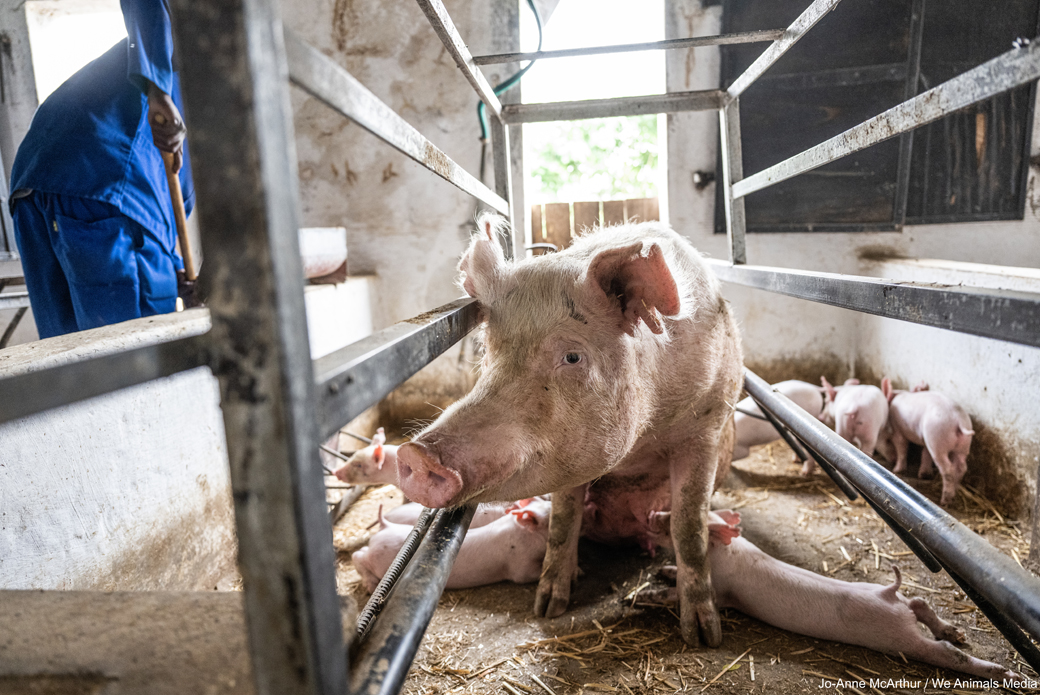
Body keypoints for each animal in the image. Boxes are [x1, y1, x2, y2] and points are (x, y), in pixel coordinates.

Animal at [352, 499, 551, 591]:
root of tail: (385, 525)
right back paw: (371, 587)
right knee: (357, 556)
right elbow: (529, 575)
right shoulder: (519, 564)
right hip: (377, 560)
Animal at [396, 214, 743, 646]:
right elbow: (563, 519)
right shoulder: (567, 457)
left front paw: (703, 636)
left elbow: (689, 524)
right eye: (488, 349)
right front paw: (547, 607)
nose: (417, 454)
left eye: (573, 356)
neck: (643, 438)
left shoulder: (706, 425)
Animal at [639, 511, 1015, 681]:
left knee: (945, 652)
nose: (652, 514)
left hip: (897, 637)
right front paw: (664, 573)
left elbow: (682, 596)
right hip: (891, 602)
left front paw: (649, 595)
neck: (724, 553)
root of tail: (887, 593)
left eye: (674, 522)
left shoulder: (721, 592)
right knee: (919, 603)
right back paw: (958, 632)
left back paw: (1007, 675)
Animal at [880, 378, 974, 507]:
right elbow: (925, 454)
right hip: (962, 446)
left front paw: (897, 470)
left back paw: (945, 501)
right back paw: (953, 494)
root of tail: (958, 420)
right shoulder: (926, 441)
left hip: (937, 439)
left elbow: (902, 447)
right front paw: (923, 475)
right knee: (961, 467)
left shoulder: (898, 430)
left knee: (948, 468)